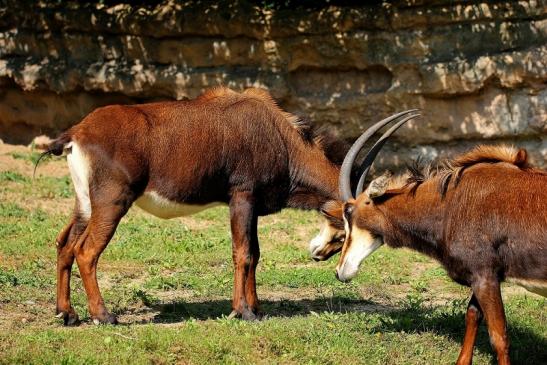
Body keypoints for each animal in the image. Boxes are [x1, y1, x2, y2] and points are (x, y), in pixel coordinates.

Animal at [39, 83, 420, 324]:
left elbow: (256, 254)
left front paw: (258, 309)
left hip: (84, 205)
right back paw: (103, 316)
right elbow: (244, 253)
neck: (281, 137)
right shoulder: (242, 196)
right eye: (348, 223)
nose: (318, 253)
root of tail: (77, 133)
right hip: (112, 202)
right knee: (87, 251)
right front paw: (243, 312)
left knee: (64, 244)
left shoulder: (252, 207)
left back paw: (66, 314)